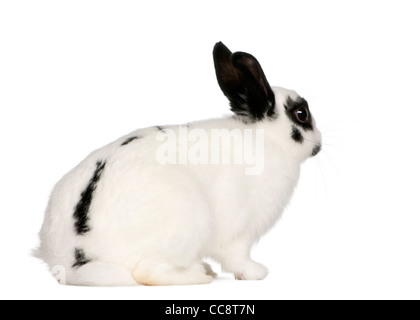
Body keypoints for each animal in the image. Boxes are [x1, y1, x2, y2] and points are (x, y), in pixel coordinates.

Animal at [35, 42, 322, 284]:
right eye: (301, 114)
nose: (319, 144)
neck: (266, 139)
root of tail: (74, 257)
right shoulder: (238, 230)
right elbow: (237, 256)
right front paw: (257, 273)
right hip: (188, 220)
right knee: (146, 272)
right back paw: (200, 275)